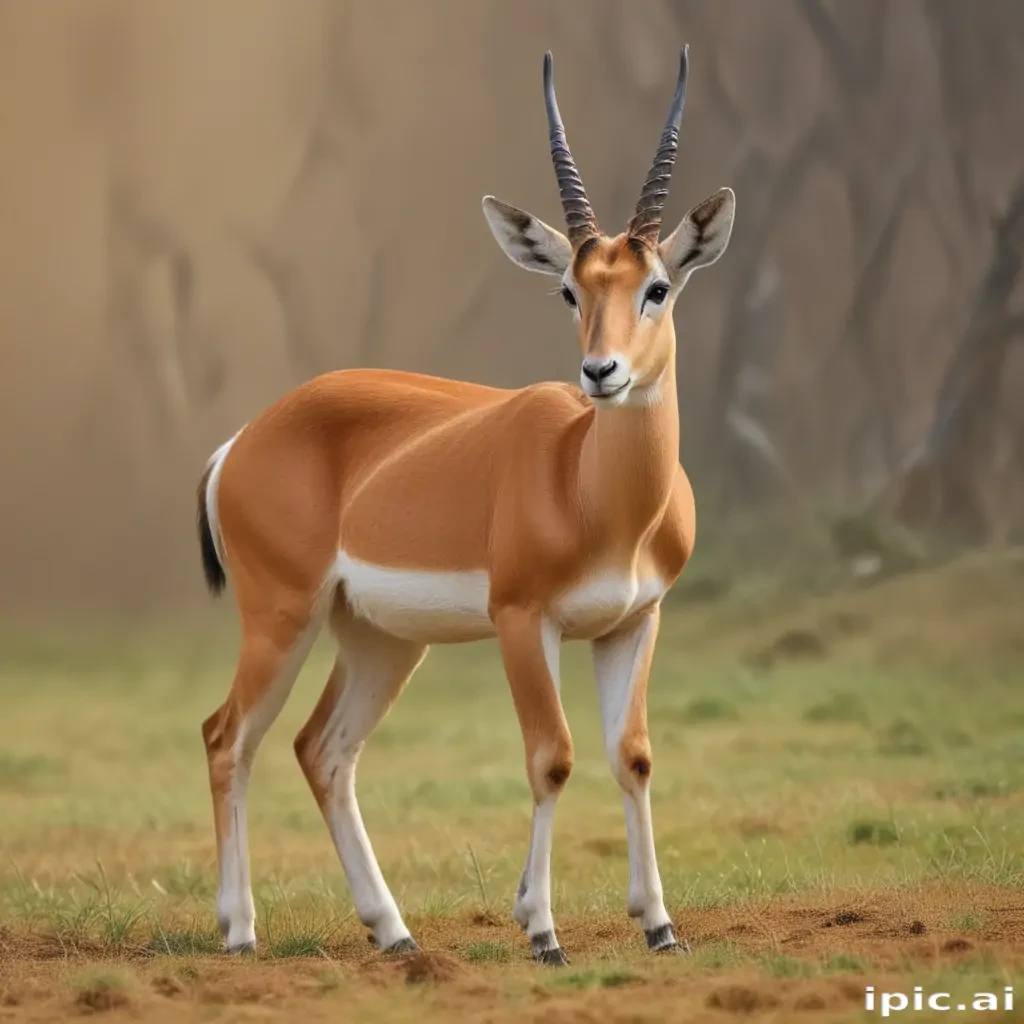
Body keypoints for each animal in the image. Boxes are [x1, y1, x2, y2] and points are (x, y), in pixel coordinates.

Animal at [197, 45, 734, 965]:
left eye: (658, 286)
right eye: (570, 290)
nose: (601, 373)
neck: (592, 492)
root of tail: (243, 439)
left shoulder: (635, 621)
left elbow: (631, 756)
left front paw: (660, 927)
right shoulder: (523, 621)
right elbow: (552, 757)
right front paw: (543, 932)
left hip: (377, 639)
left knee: (321, 750)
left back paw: (394, 932)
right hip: (281, 617)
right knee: (229, 735)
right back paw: (240, 933)